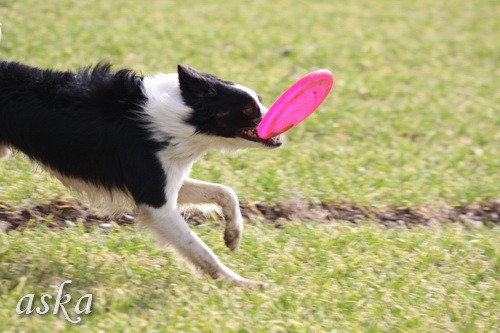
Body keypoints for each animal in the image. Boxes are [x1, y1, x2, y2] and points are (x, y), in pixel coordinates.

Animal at [0, 61, 282, 286]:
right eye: (248, 109)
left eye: (259, 100)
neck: (180, 117)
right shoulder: (155, 202)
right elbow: (200, 249)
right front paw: (239, 283)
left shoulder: (166, 181)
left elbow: (226, 192)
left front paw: (233, 236)